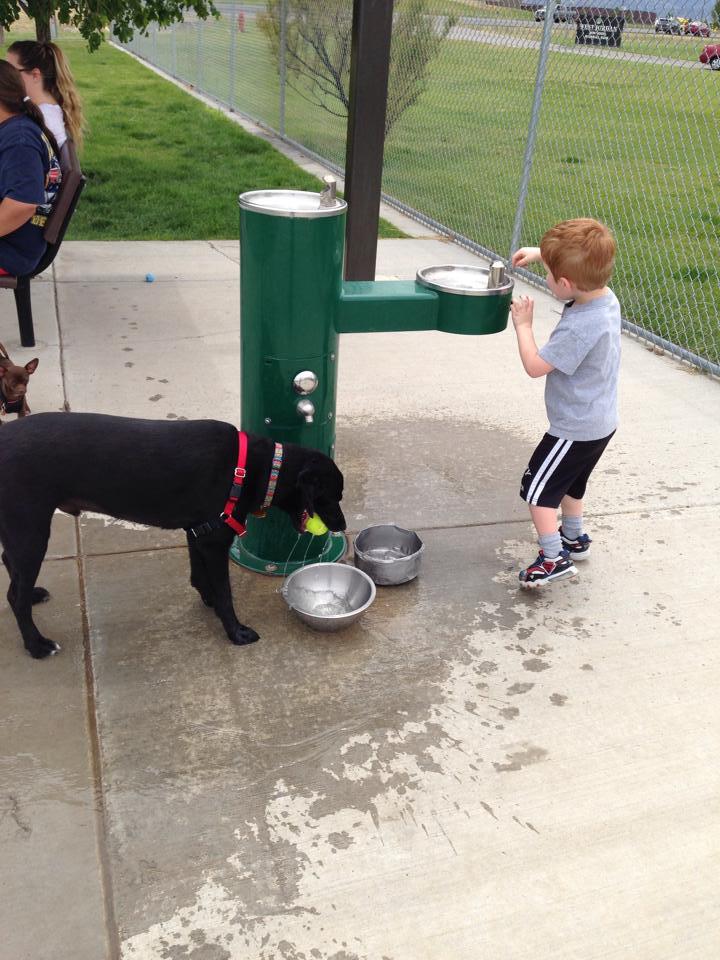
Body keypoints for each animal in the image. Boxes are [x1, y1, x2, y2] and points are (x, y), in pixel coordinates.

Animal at [0, 412, 346, 660]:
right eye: (332, 496)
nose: (342, 524)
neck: (255, 467)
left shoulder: (198, 532)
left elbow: (200, 577)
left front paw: (209, 601)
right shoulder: (214, 539)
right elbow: (224, 591)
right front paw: (236, 631)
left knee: (12, 570)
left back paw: (33, 596)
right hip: (31, 532)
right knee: (15, 595)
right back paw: (37, 645)